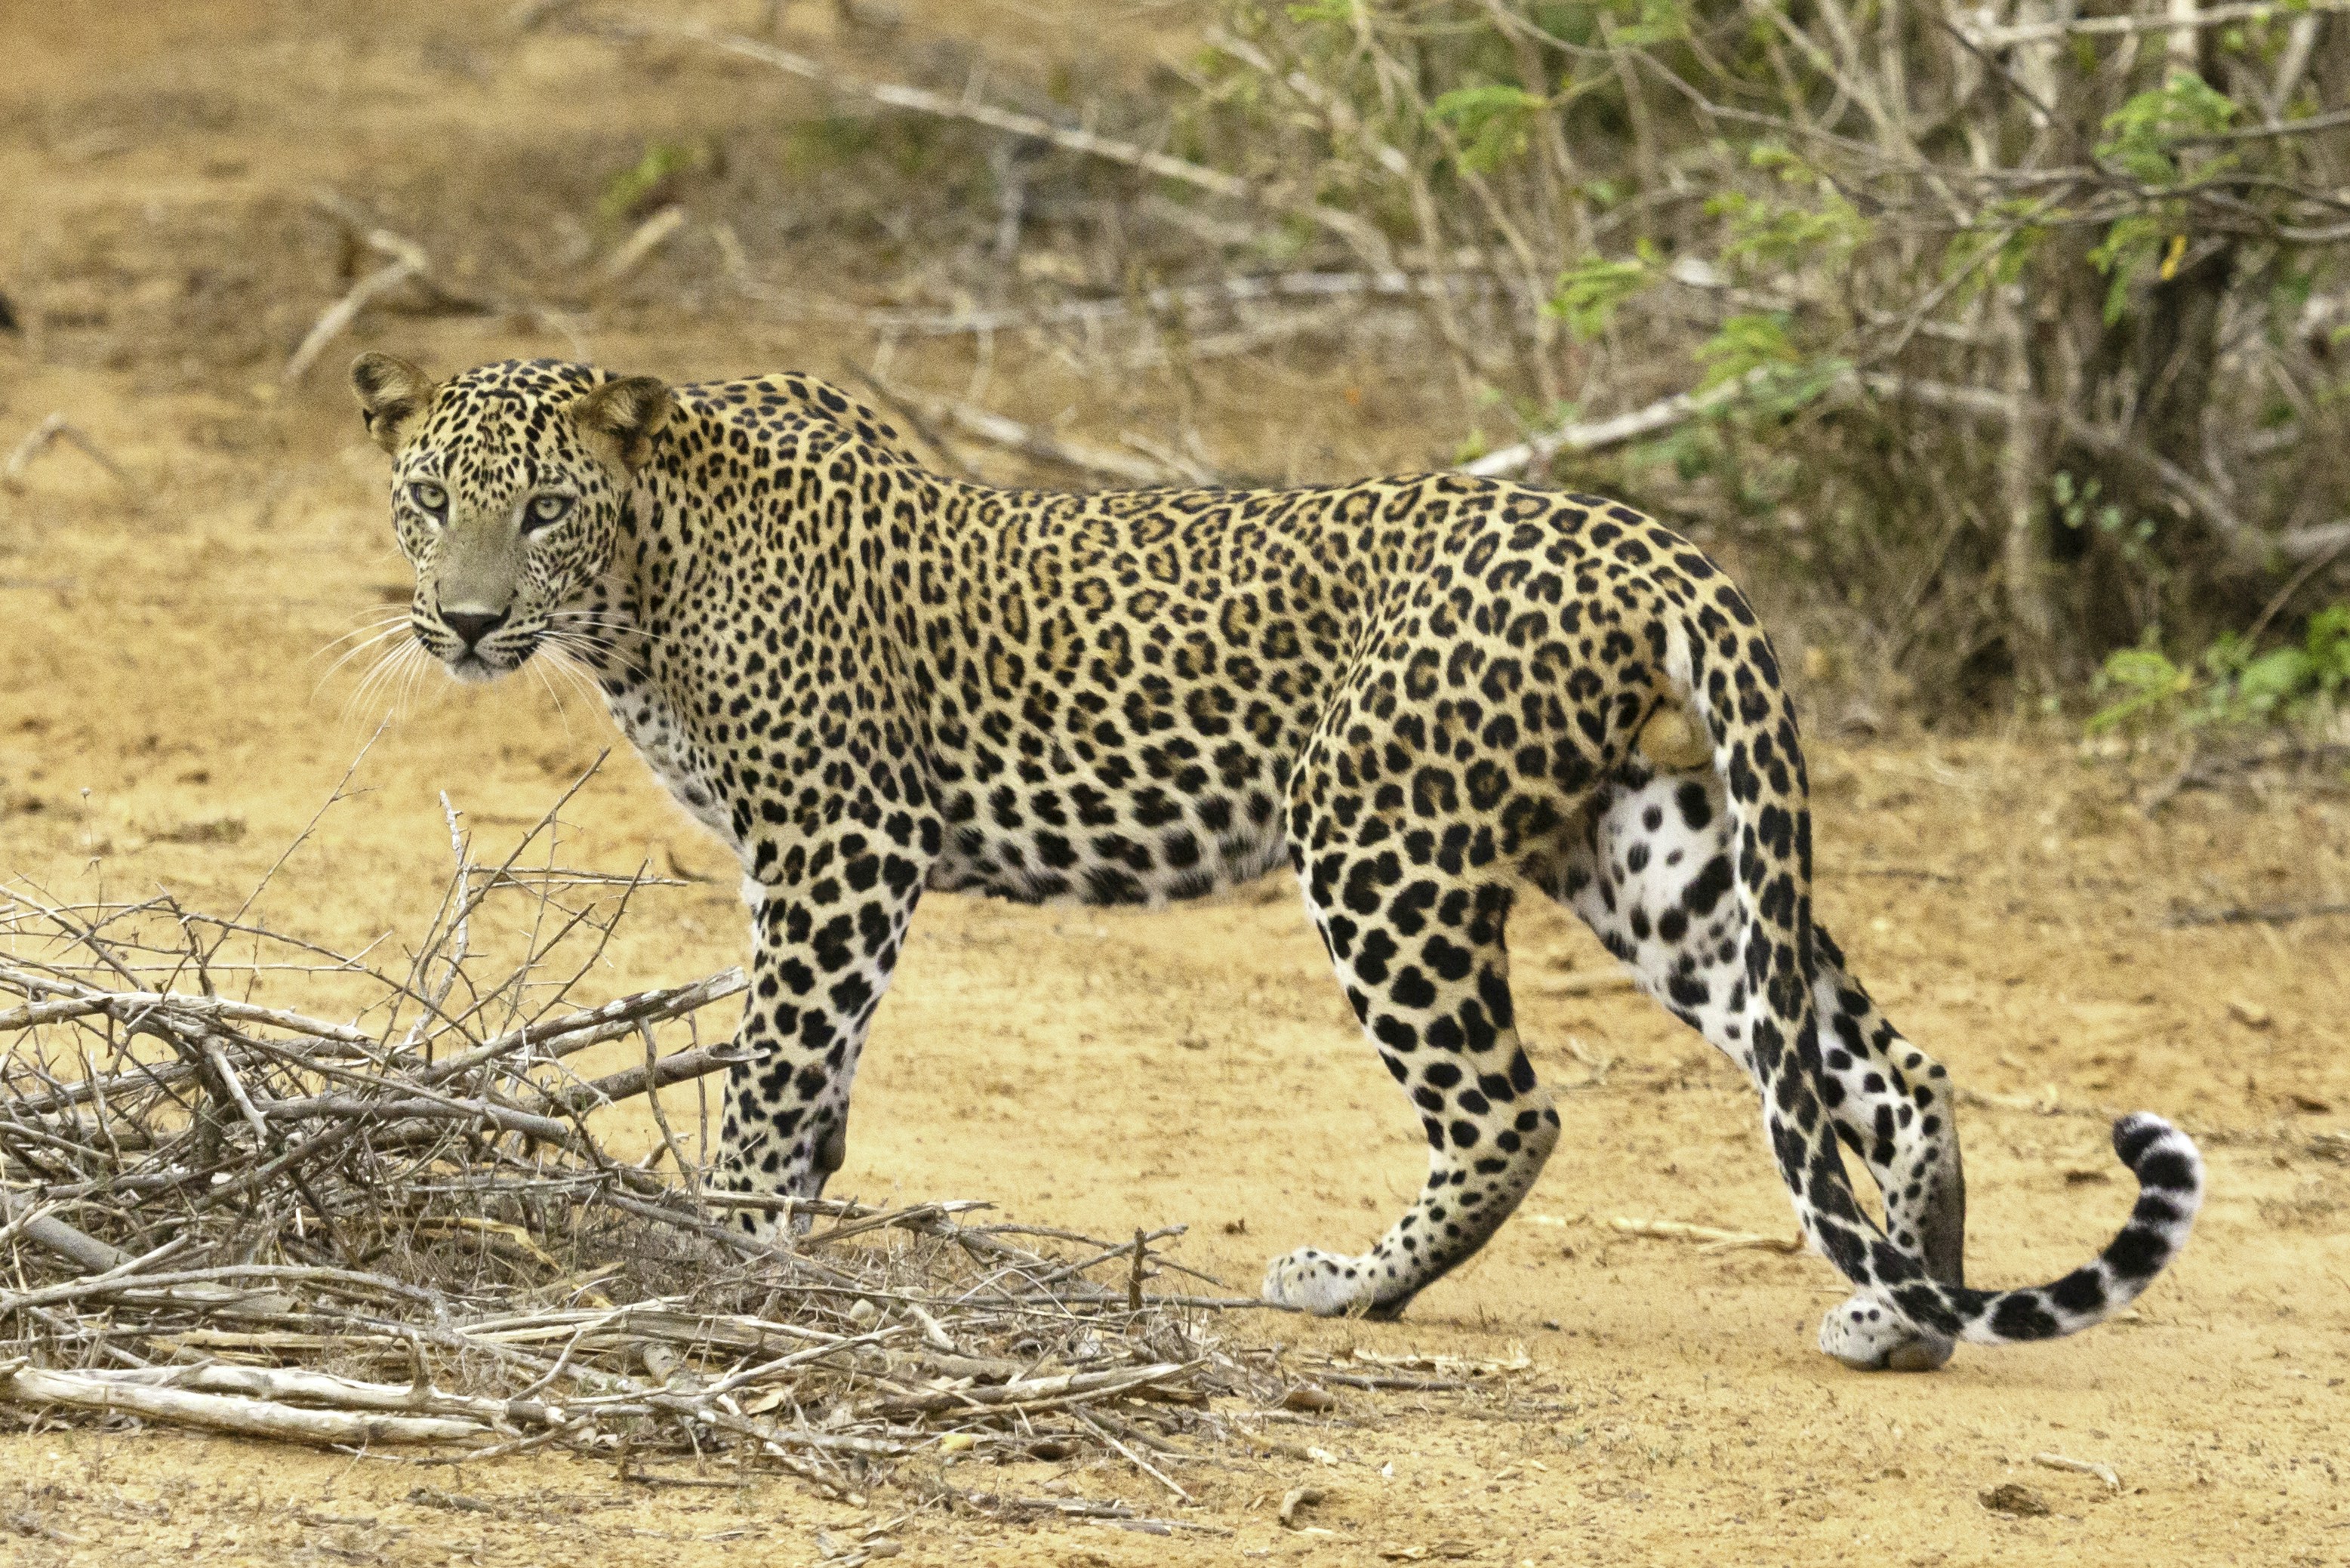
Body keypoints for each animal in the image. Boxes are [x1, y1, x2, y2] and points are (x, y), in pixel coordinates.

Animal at [349, 351, 2205, 1370]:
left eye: (542, 510)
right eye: (427, 497)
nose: (464, 620)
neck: (642, 584)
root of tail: (1640, 535)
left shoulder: (838, 842)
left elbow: (773, 1065)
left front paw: (722, 1250)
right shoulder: (821, 864)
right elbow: (816, 1080)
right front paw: (781, 1236)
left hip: (1378, 840)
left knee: (1510, 1109)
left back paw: (1344, 1289)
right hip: (1652, 850)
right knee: (1874, 1068)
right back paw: (1905, 1312)